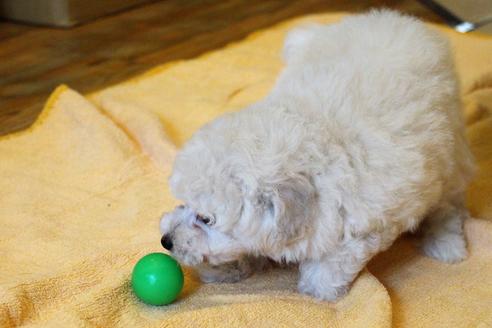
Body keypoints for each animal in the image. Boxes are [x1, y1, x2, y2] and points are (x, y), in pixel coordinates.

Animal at [160, 9, 474, 302]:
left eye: (205, 219)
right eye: (183, 202)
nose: (166, 241)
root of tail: (401, 19)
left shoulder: (361, 228)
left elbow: (332, 263)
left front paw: (317, 291)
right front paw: (227, 269)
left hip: (448, 150)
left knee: (447, 203)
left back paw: (446, 243)